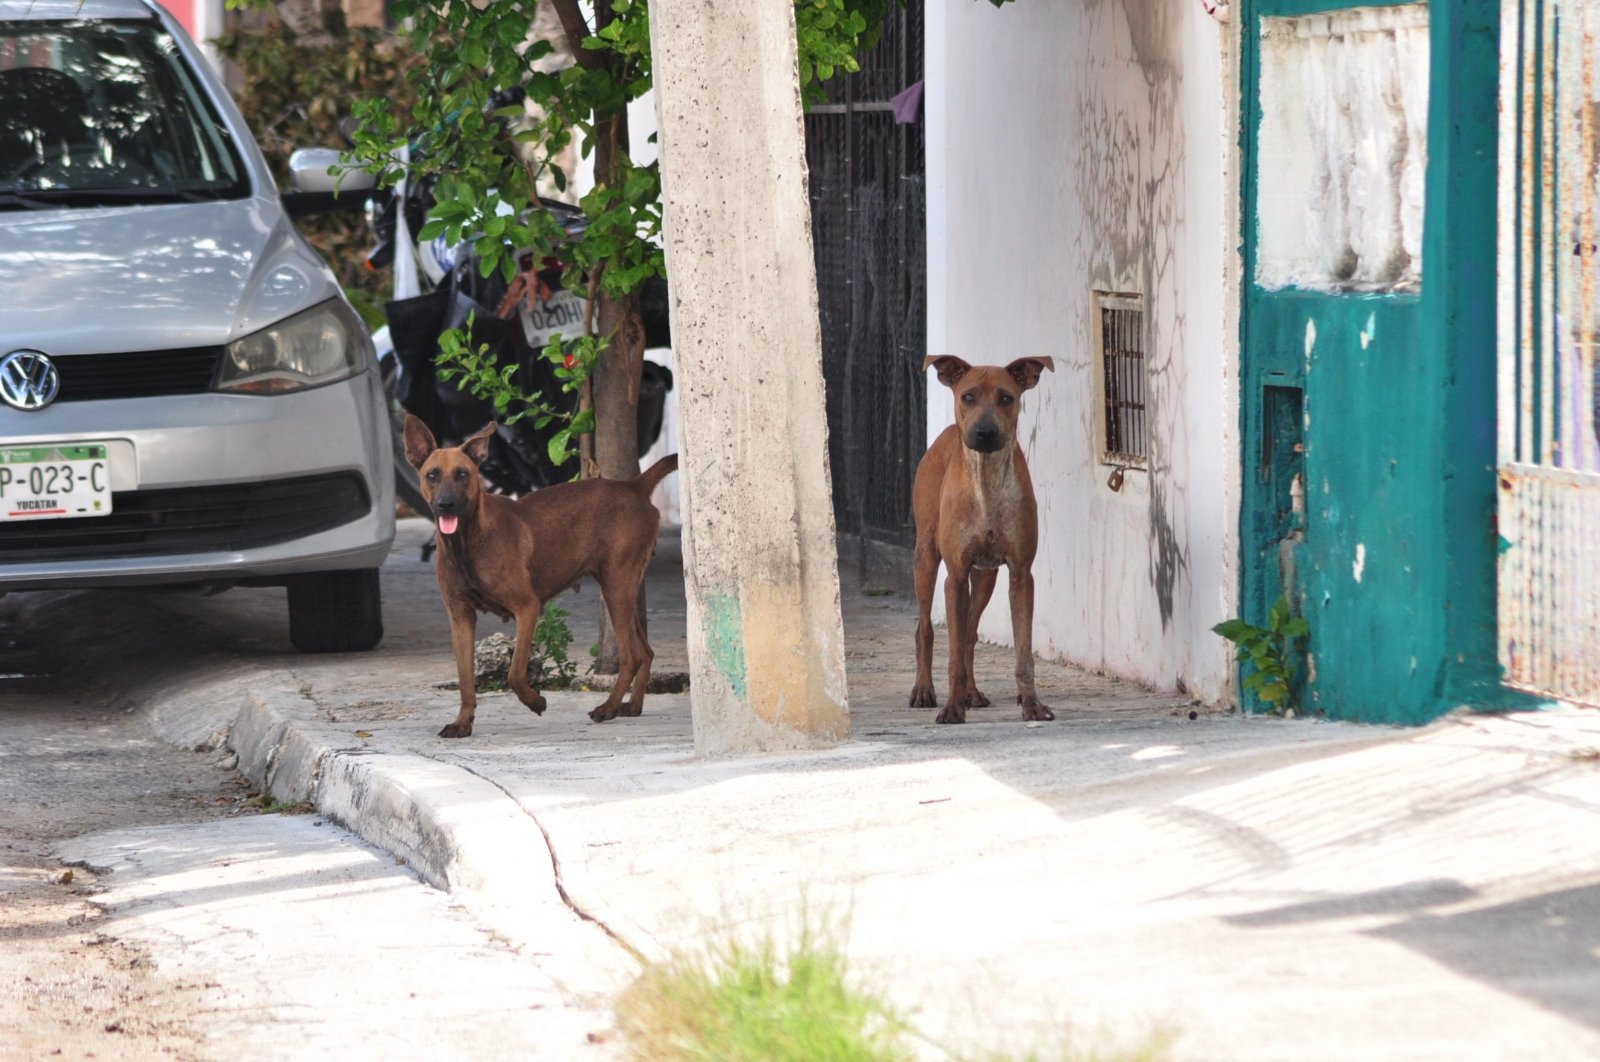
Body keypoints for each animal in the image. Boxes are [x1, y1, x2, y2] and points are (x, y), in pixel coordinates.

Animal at [406, 415, 681, 738]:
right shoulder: (460, 616)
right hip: (624, 588)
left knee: (631, 657)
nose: (445, 504)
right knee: (646, 652)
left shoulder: (527, 607)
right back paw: (632, 706)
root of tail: (635, 486)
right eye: (432, 475)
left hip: (617, 587)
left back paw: (608, 707)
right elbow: (465, 680)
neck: (466, 543)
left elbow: (514, 674)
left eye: (463, 474)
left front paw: (535, 701)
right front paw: (463, 722)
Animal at [908, 355, 1056, 722]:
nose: (984, 432)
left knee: (970, 634)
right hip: (925, 558)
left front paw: (1031, 704)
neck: (987, 482)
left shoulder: (1020, 574)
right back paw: (924, 689)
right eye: (968, 397)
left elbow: (1023, 653)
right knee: (925, 629)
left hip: (986, 577)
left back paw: (972, 693)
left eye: (1006, 398)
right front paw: (951, 708)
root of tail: (947, 432)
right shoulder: (956, 576)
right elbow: (953, 653)